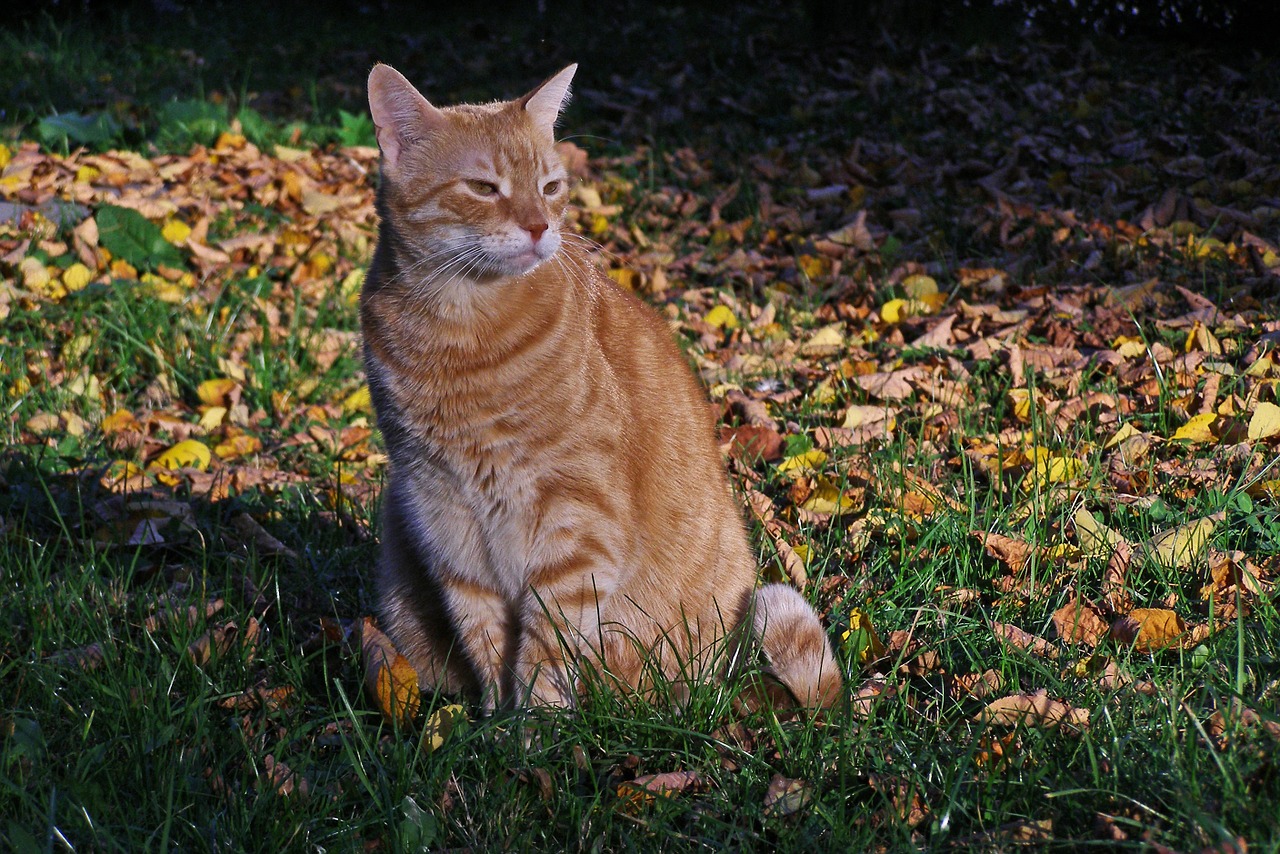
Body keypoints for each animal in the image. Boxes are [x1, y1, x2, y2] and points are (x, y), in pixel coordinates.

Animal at [363, 61, 839, 717]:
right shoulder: (441, 511)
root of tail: (717, 689)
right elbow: (485, 638)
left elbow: (544, 651)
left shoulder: (575, 523)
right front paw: (493, 726)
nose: (538, 226)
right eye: (484, 188)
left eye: (550, 187)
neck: (458, 332)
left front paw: (534, 731)